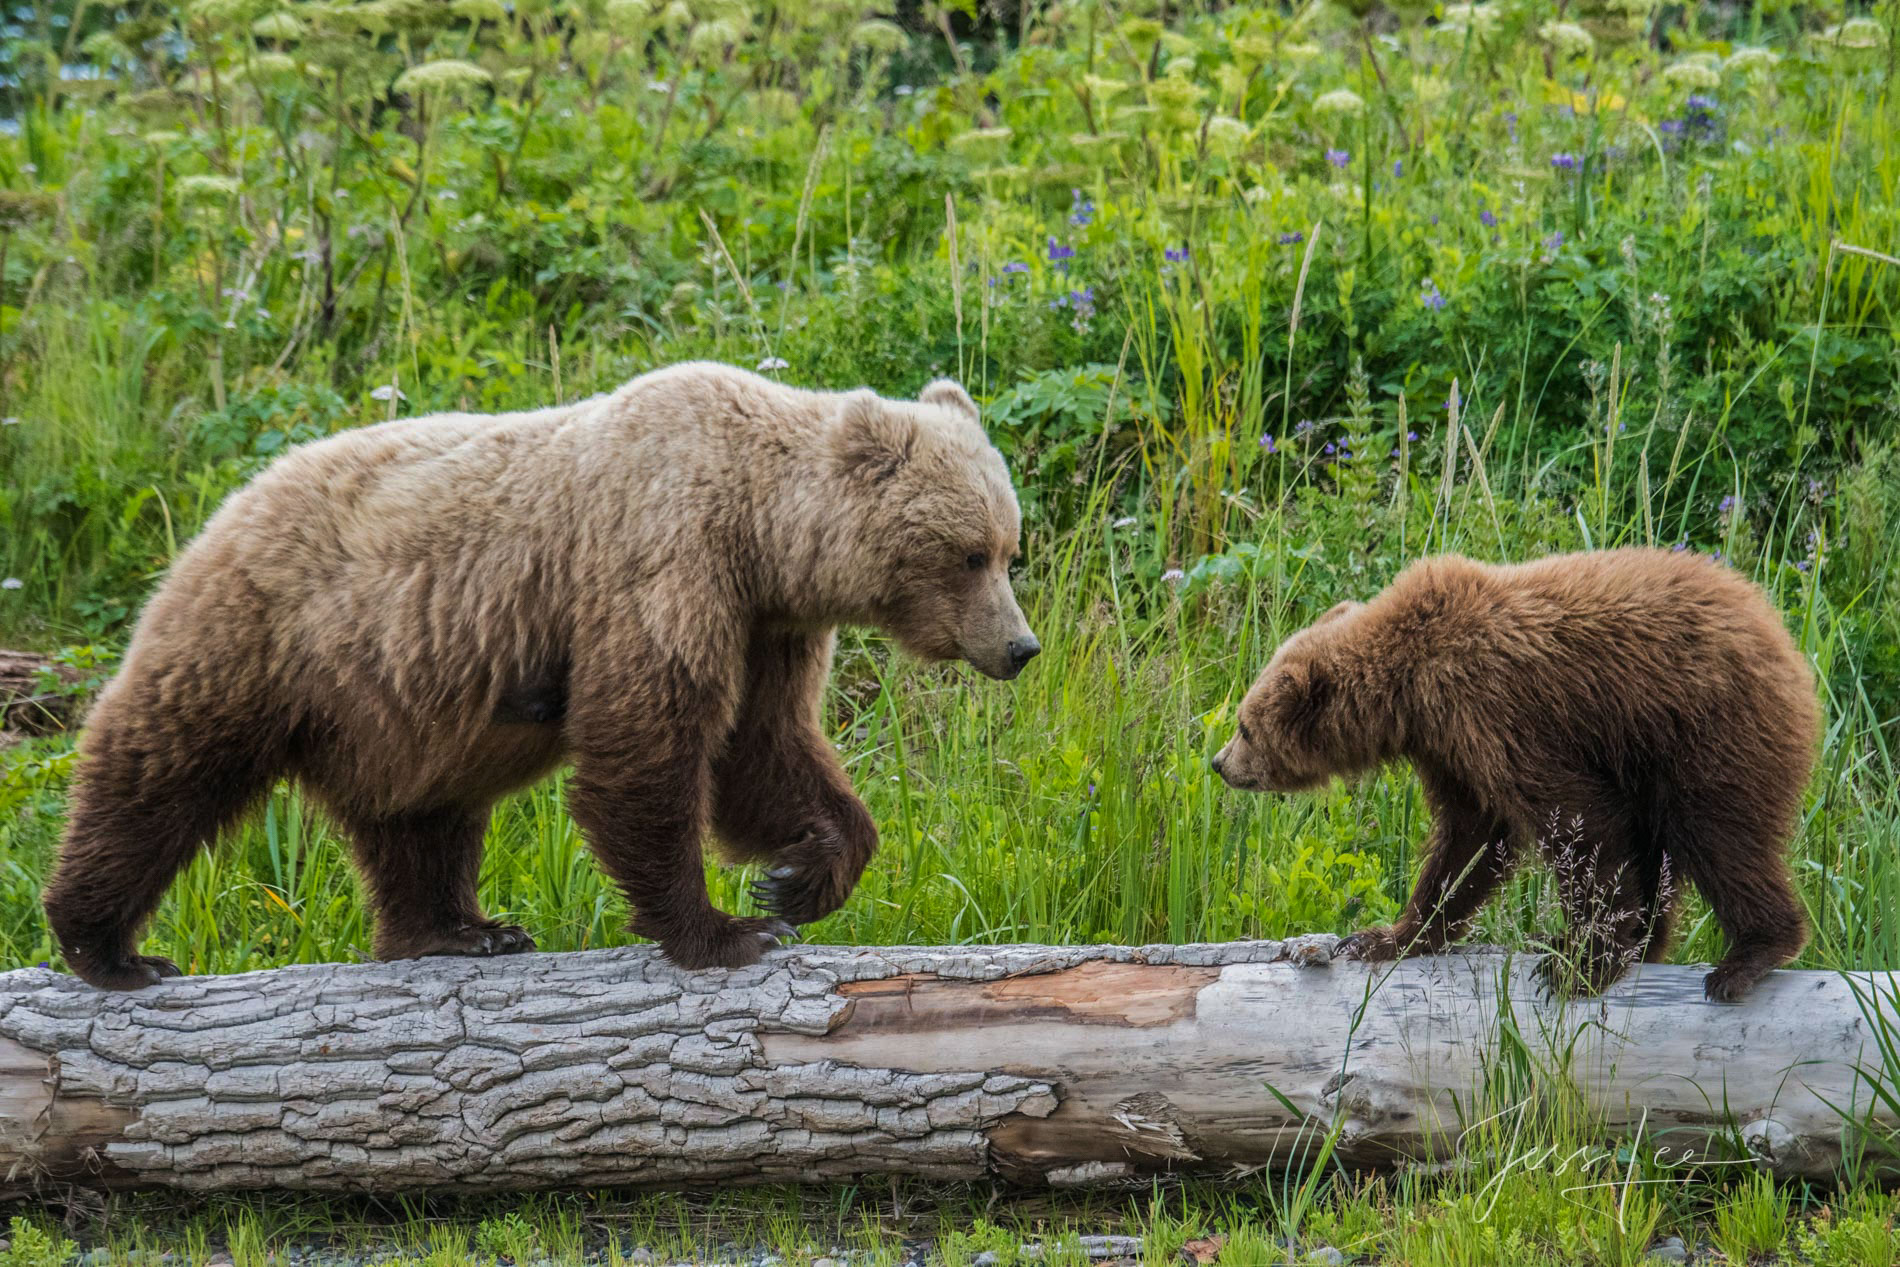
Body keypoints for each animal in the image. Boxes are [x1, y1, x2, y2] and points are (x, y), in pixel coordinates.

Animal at [40, 360, 1041, 987]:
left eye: (1009, 548)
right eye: (969, 554)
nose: (1020, 648)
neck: (759, 532)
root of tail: (229, 499)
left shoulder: (765, 626)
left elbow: (763, 746)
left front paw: (800, 874)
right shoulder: (661, 564)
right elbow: (646, 748)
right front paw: (727, 928)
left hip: (400, 704)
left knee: (422, 817)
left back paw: (460, 931)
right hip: (265, 638)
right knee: (161, 769)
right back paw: (109, 946)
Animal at [1216, 550, 1824, 1002]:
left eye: (1244, 726)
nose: (1221, 763)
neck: (1411, 687)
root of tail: (1785, 642)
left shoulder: (1501, 710)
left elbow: (1577, 821)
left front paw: (1584, 962)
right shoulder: (1452, 747)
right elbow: (1469, 842)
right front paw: (1387, 936)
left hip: (1707, 730)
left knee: (1720, 837)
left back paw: (1747, 956)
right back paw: (1644, 944)